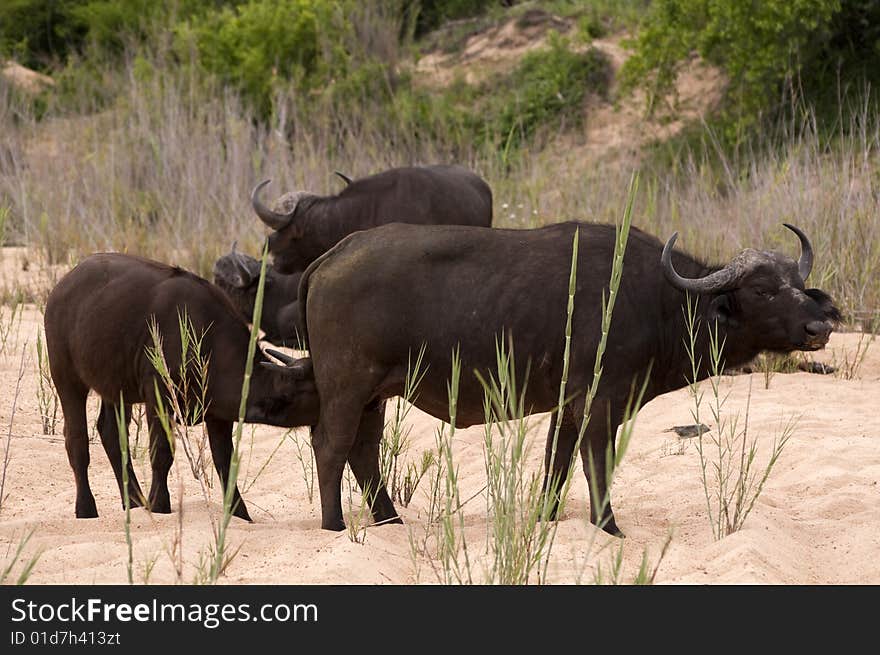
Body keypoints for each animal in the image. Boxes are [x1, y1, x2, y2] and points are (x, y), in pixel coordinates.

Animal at [45, 252, 320, 524]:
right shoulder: (158, 398)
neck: (205, 341)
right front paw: (159, 504)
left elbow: (224, 461)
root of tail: (60, 290)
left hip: (114, 387)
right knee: (76, 440)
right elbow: (162, 452)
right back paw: (86, 507)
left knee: (111, 434)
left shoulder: (218, 414)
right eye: (316, 389)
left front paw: (239, 513)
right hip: (66, 378)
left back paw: (133, 501)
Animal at [290, 223, 840, 536]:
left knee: (364, 452)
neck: (656, 300)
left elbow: (557, 462)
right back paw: (334, 525)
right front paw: (608, 527)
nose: (820, 327)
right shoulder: (601, 401)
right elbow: (597, 464)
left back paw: (390, 520)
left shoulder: (568, 405)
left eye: (797, 284)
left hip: (375, 395)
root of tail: (332, 256)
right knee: (331, 447)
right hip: (347, 386)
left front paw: (547, 520)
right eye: (763, 290)